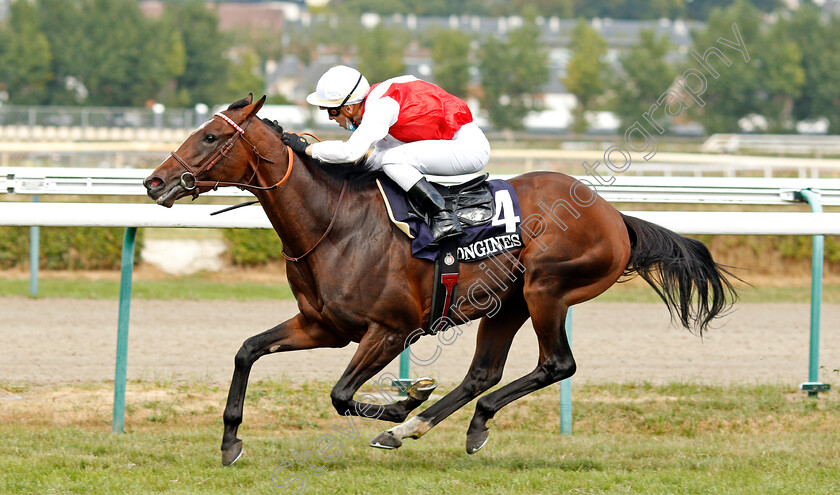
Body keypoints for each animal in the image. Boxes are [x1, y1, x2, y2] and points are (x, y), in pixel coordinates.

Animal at [143, 95, 736, 466]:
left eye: (210, 136)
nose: (155, 182)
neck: (334, 222)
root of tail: (615, 217)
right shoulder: (321, 326)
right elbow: (247, 350)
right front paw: (229, 441)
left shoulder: (388, 329)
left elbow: (341, 393)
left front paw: (401, 400)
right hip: (505, 304)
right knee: (483, 374)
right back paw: (444, 426)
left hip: (547, 291)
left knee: (556, 364)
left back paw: (413, 424)